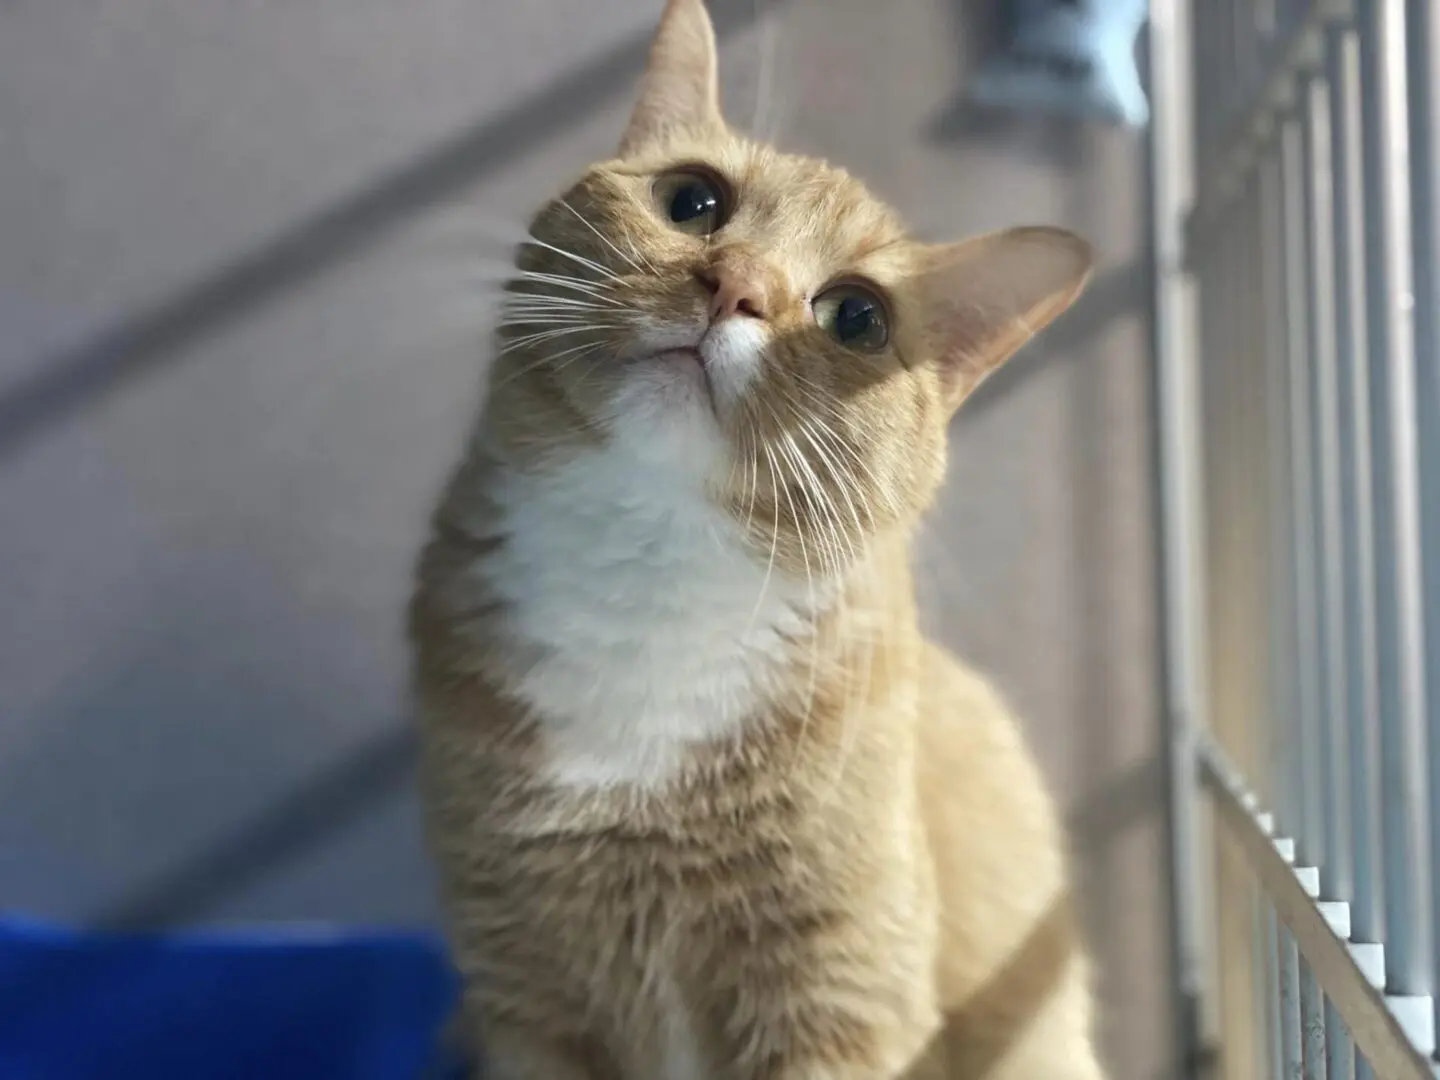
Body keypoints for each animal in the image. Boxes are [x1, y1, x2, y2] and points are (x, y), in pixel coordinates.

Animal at [411, 2, 1105, 1080]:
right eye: (692, 200)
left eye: (857, 317)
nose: (734, 282)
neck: (645, 586)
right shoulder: (524, 991)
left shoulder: (838, 993)